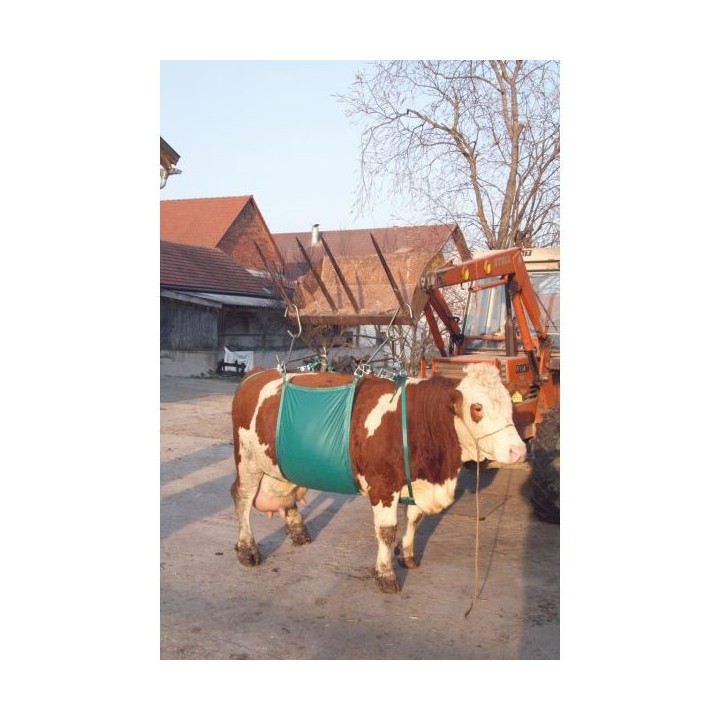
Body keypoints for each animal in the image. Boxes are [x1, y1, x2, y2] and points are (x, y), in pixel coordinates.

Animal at [230, 363, 526, 593]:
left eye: (510, 406)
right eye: (477, 408)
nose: (518, 450)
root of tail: (257, 374)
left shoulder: (418, 483)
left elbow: (414, 520)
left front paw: (407, 555)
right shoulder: (383, 486)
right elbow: (387, 531)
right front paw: (385, 574)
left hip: (280, 464)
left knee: (284, 490)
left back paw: (298, 531)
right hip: (248, 460)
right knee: (242, 497)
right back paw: (247, 549)